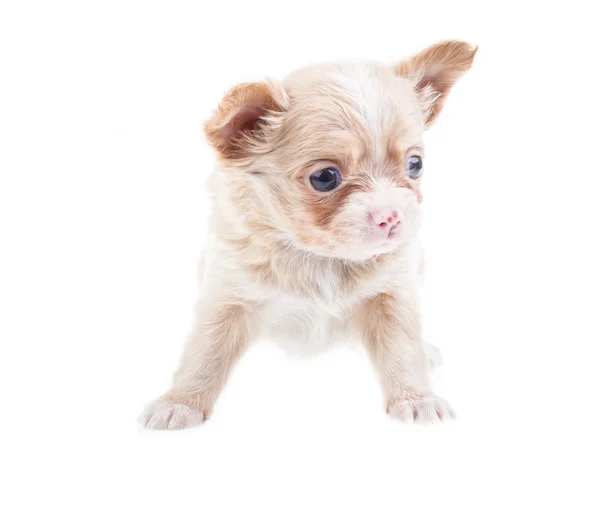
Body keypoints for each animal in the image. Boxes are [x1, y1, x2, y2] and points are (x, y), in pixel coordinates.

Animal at [139, 41, 474, 428]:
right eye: (325, 178)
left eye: (415, 166)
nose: (391, 216)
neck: (321, 258)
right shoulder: (227, 297)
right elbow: (204, 353)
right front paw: (180, 403)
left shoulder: (392, 295)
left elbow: (402, 349)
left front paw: (417, 398)